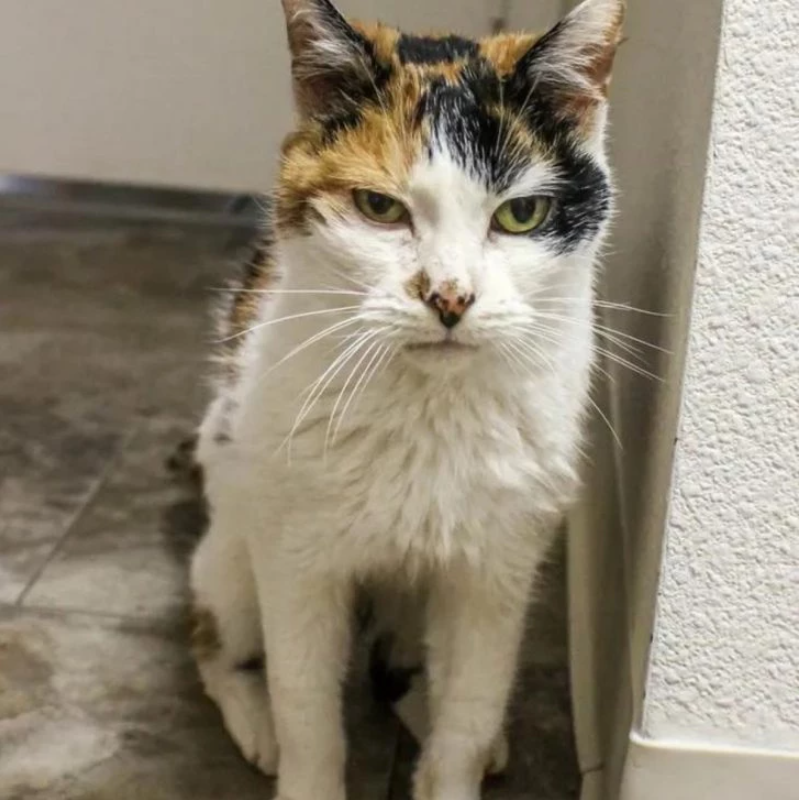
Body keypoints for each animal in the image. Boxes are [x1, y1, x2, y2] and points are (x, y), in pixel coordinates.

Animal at [192, 1, 624, 792]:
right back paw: (252, 719)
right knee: (214, 639)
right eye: (377, 207)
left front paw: (453, 770)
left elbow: (471, 707)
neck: (430, 409)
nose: (449, 297)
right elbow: (304, 702)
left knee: (405, 668)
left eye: (521, 214)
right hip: (234, 550)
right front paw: (301, 770)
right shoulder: (296, 559)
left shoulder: (496, 570)